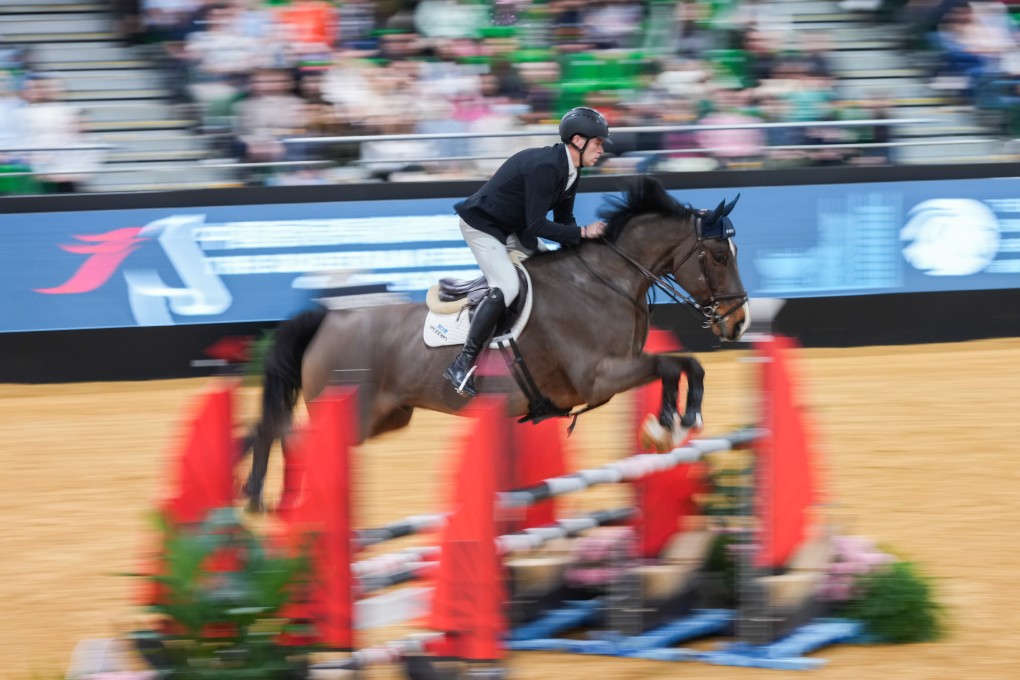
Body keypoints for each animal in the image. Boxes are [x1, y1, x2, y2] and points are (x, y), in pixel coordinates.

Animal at [242, 175, 748, 511]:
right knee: (291, 435)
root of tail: (330, 320)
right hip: (351, 413)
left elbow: (687, 365)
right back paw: (269, 495)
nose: (739, 323)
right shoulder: (598, 376)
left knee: (285, 432)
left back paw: (268, 494)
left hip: (389, 416)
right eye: (717, 256)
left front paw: (679, 422)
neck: (606, 283)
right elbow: (670, 364)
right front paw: (667, 425)